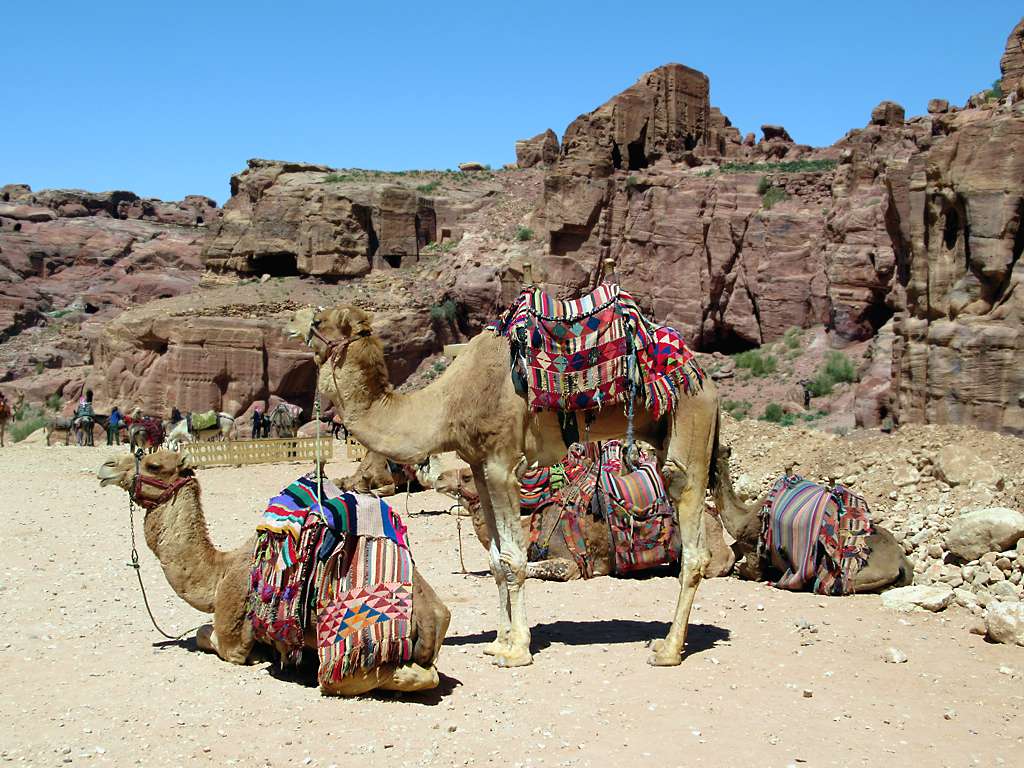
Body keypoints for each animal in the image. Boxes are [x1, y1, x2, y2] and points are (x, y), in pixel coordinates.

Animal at [96, 449, 450, 695]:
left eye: (154, 465)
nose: (106, 466)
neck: (219, 573)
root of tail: (434, 616)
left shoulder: (232, 635)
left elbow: (206, 636)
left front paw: (257, 656)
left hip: (356, 655)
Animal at [289, 304, 720, 668]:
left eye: (320, 320)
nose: (293, 322)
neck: (446, 405)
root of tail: (704, 378)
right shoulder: (479, 466)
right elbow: (495, 561)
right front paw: (499, 640)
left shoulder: (502, 463)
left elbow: (514, 559)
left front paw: (517, 650)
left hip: (689, 423)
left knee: (692, 533)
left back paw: (668, 650)